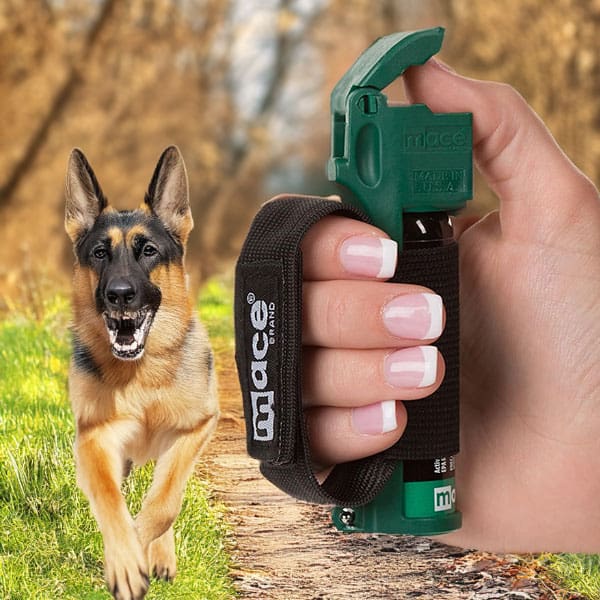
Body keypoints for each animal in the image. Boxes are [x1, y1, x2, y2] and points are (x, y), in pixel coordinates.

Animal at [64, 146, 218, 600]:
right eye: (100, 254)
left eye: (148, 251)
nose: (119, 294)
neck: (143, 377)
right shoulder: (94, 438)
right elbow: (108, 497)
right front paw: (125, 560)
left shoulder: (198, 427)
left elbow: (165, 502)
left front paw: (142, 547)